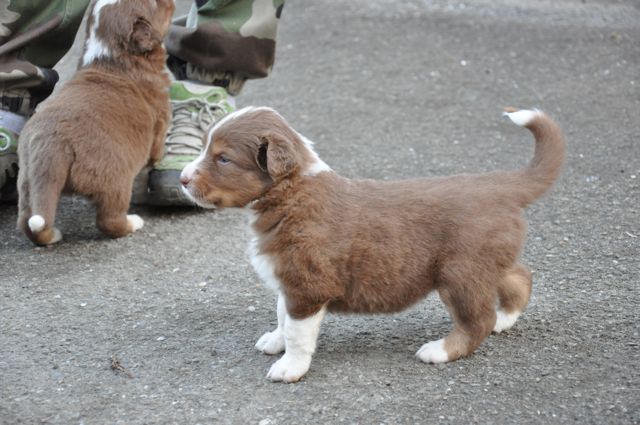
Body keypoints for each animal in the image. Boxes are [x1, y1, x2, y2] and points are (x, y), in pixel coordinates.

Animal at [16, 0, 175, 245]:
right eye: (155, 4)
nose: (173, 2)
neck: (109, 57)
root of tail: (52, 143)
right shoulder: (161, 116)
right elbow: (157, 148)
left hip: (26, 179)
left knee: (28, 221)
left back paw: (53, 235)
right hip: (115, 178)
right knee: (109, 220)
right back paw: (133, 222)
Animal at [181, 105, 564, 380]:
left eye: (223, 158)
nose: (182, 179)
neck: (290, 192)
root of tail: (500, 185)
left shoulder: (307, 285)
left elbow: (298, 332)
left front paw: (290, 368)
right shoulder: (288, 279)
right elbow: (281, 315)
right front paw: (275, 340)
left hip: (460, 273)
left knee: (476, 320)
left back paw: (440, 350)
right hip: (487, 262)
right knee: (519, 277)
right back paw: (506, 318)